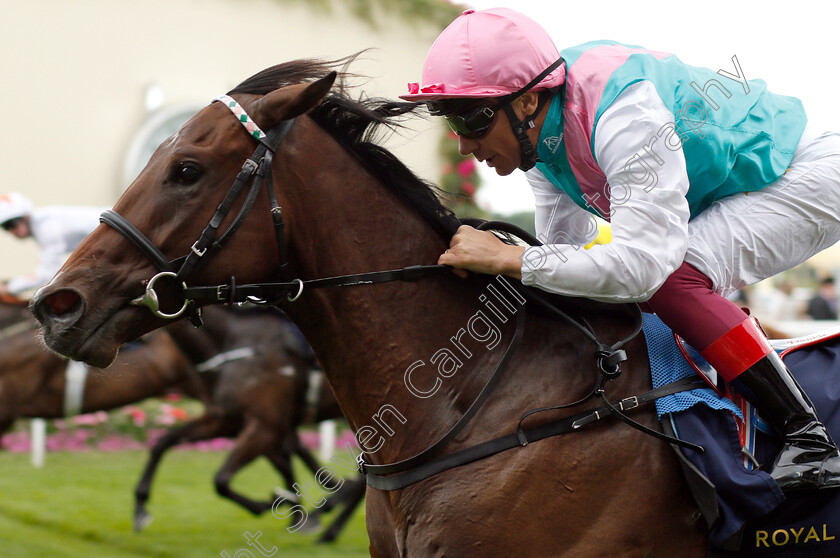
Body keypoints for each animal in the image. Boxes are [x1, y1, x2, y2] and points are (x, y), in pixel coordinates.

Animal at [36, 59, 712, 556]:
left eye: (186, 170)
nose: (56, 304)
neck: (477, 398)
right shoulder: (252, 422)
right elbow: (185, 451)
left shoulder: (261, 422)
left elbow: (230, 472)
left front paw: (296, 506)